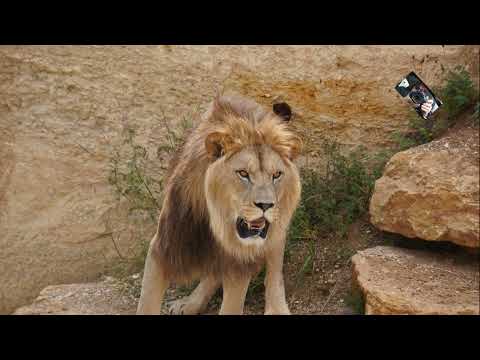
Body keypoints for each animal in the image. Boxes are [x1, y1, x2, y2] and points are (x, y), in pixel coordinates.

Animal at [136, 93, 300, 316]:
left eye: (276, 175)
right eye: (243, 173)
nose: (266, 205)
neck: (218, 222)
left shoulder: (240, 263)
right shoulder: (164, 247)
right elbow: (146, 302)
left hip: (278, 228)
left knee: (275, 269)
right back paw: (190, 303)